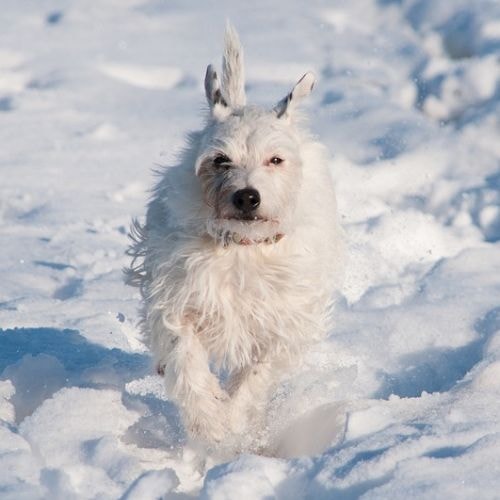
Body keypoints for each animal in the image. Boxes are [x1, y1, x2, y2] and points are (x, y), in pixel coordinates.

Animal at [125, 25, 344, 452]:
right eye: (220, 159)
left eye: (275, 160)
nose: (246, 196)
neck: (244, 247)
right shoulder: (178, 300)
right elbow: (185, 360)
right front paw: (209, 424)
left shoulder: (278, 321)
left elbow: (254, 379)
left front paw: (234, 423)